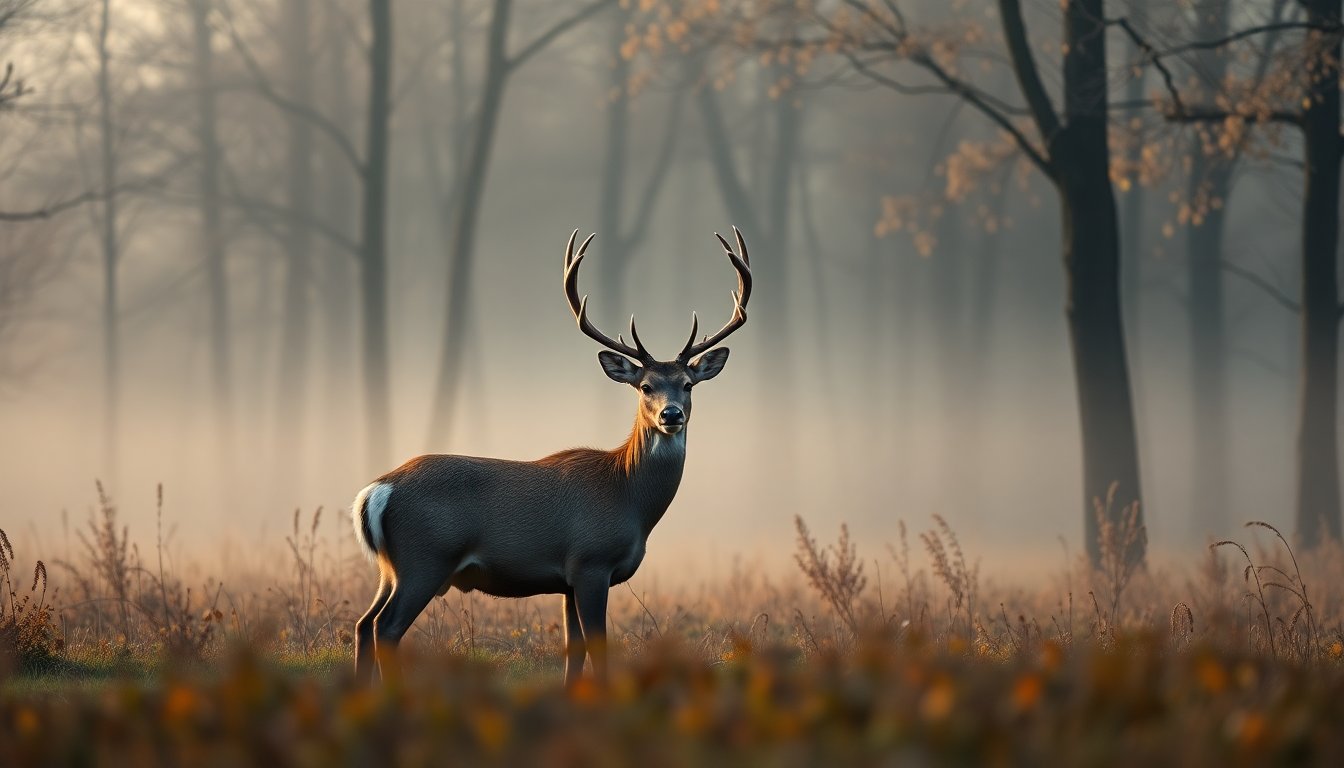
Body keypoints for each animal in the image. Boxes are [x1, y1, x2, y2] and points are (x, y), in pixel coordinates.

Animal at [350, 227, 752, 686]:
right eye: (645, 386)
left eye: (688, 384)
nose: (671, 415)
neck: (629, 497)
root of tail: (376, 492)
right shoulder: (591, 561)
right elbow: (598, 647)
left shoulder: (567, 580)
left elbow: (573, 651)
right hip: (425, 559)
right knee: (385, 627)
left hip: (390, 567)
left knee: (363, 623)